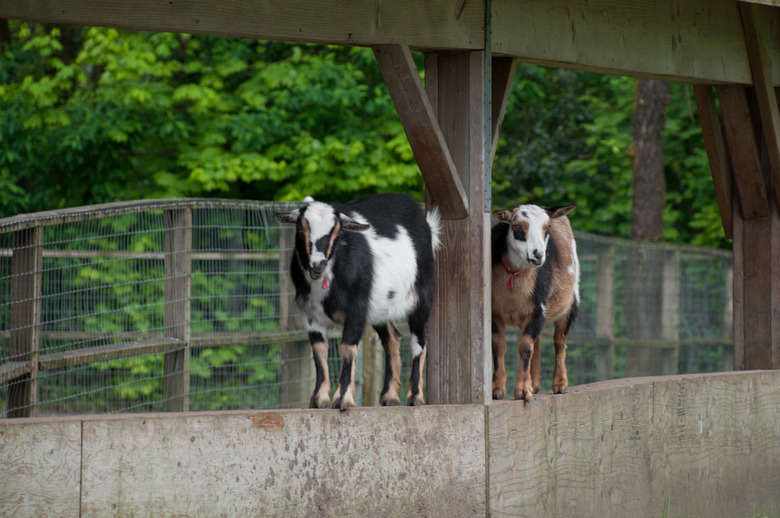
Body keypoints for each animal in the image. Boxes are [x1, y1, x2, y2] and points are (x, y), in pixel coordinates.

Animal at [275, 193, 441, 410]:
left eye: (337, 231)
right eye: (301, 227)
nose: (318, 264)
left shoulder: (357, 310)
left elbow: (347, 350)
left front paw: (342, 399)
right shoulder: (310, 315)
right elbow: (319, 351)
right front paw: (318, 399)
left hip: (422, 296)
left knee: (419, 342)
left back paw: (414, 396)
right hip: (381, 307)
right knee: (392, 338)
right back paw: (389, 396)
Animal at [490, 203, 580, 401]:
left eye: (548, 228)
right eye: (517, 226)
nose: (538, 255)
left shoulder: (537, 309)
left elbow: (524, 348)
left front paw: (523, 392)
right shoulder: (495, 312)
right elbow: (498, 346)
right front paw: (497, 390)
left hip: (571, 301)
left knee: (559, 340)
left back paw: (560, 384)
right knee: (537, 342)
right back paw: (536, 383)